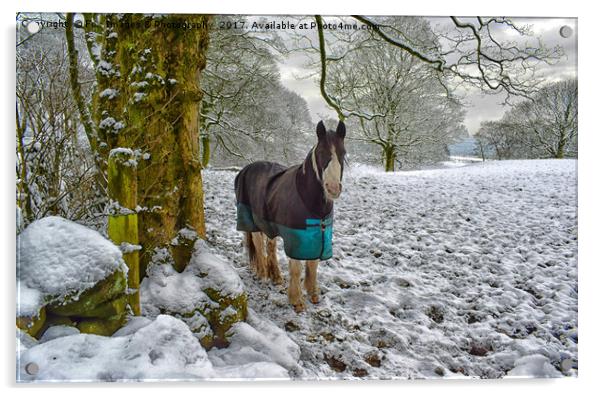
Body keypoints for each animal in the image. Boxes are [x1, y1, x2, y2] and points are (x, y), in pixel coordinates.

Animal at [236, 120, 346, 312]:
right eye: (321, 153)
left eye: (343, 153)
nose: (333, 188)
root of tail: (247, 168)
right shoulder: (296, 237)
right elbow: (296, 268)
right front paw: (296, 301)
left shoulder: (316, 234)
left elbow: (313, 265)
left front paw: (313, 293)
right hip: (253, 222)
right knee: (258, 246)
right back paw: (262, 274)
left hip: (269, 224)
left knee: (270, 246)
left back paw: (276, 277)